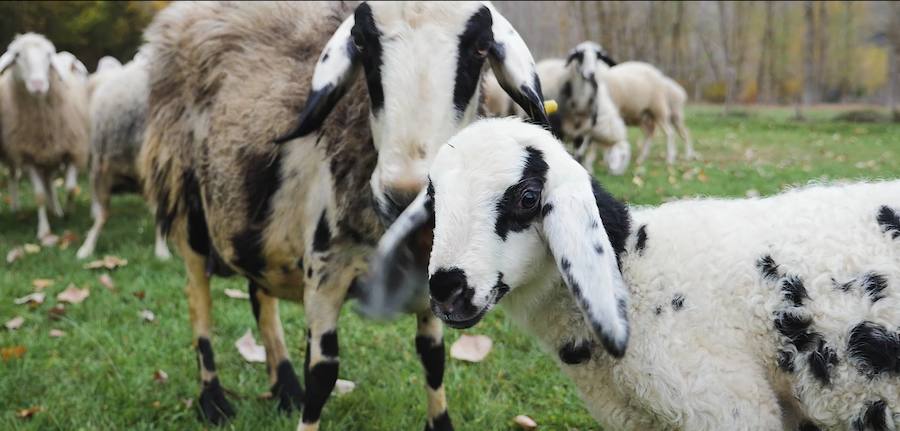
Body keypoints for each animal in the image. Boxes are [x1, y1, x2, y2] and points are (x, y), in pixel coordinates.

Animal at [0, 33, 89, 240]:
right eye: (17, 55)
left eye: (49, 56)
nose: (38, 85)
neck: (43, 123)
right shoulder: (28, 157)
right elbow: (39, 195)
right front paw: (43, 230)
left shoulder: (72, 151)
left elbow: (71, 188)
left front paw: (68, 213)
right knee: (13, 176)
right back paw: (16, 209)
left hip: (50, 158)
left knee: (50, 183)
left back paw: (56, 210)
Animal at [141, 1, 548, 430]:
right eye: (361, 42)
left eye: (481, 47)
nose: (404, 196)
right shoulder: (325, 272)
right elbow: (322, 373)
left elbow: (433, 358)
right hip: (187, 201)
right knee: (197, 298)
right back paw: (213, 400)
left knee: (259, 295)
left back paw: (285, 388)